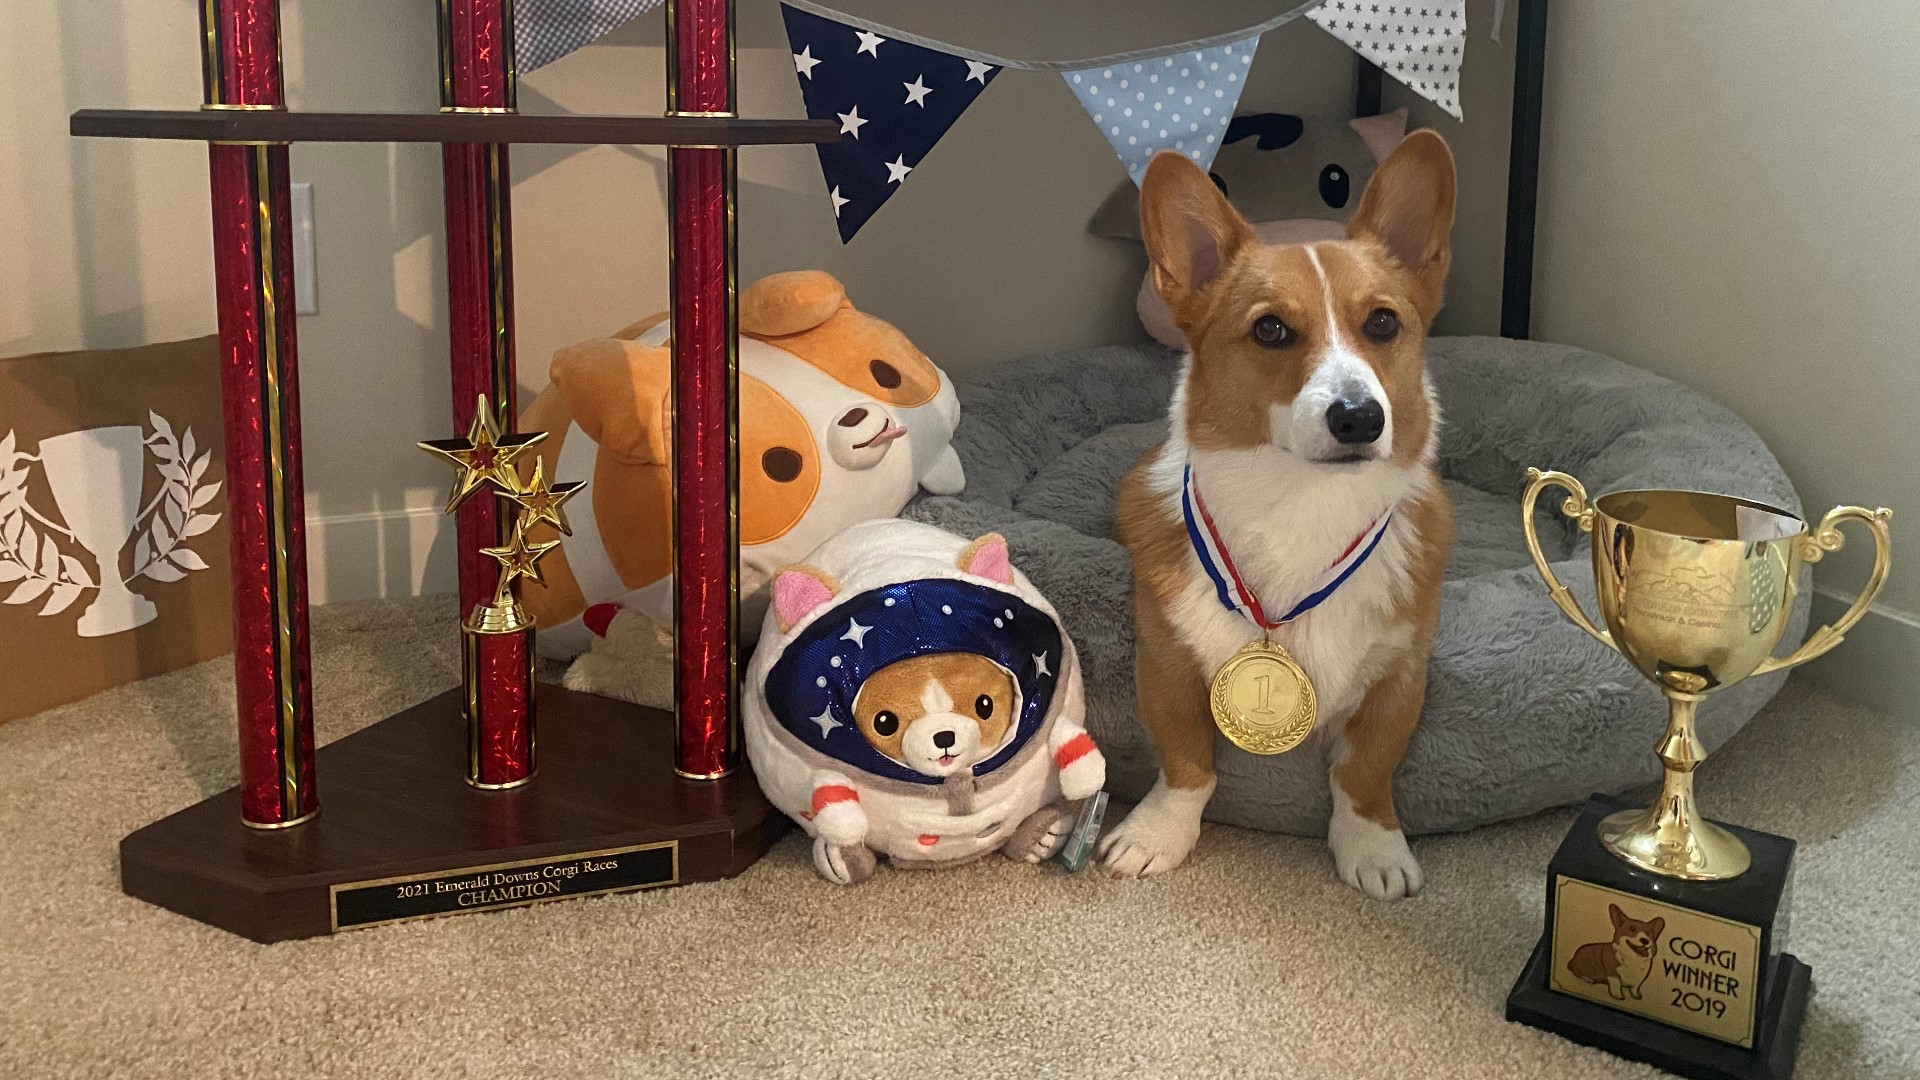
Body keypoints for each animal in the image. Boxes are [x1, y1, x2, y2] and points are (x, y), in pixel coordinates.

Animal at [1098, 132, 1451, 899]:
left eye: (1384, 322)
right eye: (1270, 330)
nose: (1359, 417)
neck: (1302, 506)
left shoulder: (1401, 674)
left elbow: (1364, 772)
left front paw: (1374, 847)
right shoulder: (1165, 662)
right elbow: (1186, 763)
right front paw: (1156, 834)